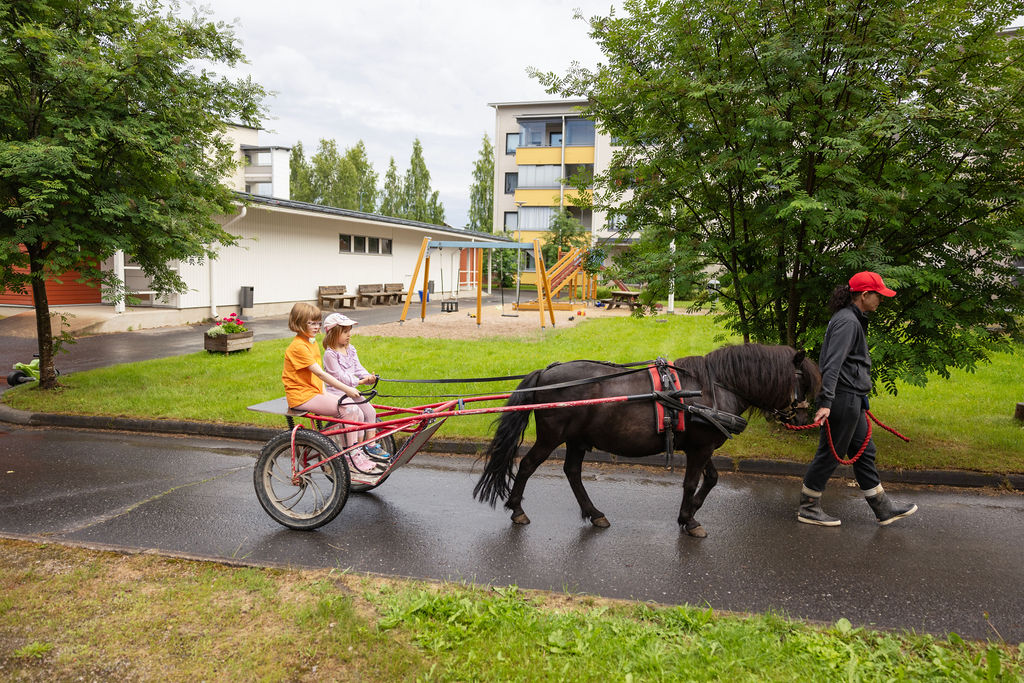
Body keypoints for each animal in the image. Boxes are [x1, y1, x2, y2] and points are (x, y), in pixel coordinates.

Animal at [475, 344, 819, 536]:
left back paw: (595, 513)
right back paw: (517, 510)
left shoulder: (702, 447)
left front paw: (690, 512)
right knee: (527, 465)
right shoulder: (700, 447)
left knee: (572, 472)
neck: (713, 387)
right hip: (552, 438)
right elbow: (691, 483)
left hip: (576, 439)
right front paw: (689, 520)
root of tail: (545, 373)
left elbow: (711, 479)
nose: (805, 418)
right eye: (803, 380)